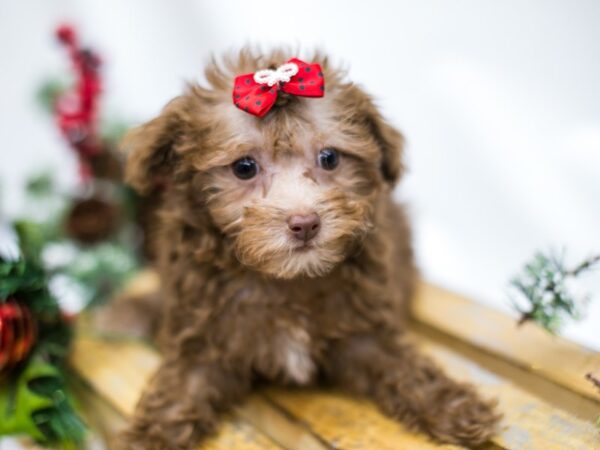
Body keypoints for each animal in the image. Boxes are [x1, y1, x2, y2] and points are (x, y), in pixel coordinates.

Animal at [116, 50, 496, 450]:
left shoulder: (364, 326)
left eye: (329, 158)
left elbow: (404, 367)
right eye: (244, 167)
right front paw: (147, 439)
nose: (305, 223)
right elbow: (178, 392)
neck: (284, 280)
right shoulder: (203, 337)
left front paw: (453, 407)